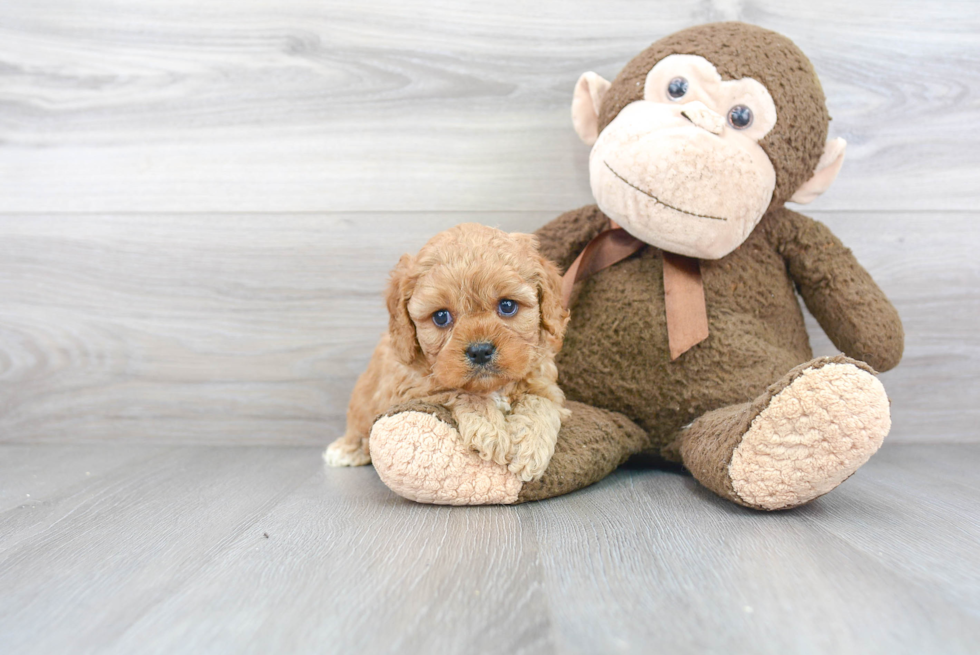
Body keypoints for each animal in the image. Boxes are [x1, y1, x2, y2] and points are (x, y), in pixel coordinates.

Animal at [324, 223, 568, 484]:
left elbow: (540, 402)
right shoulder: (412, 390)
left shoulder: (544, 383)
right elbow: (460, 392)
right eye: (441, 316)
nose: (480, 351)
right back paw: (345, 450)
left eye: (507, 305)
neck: (492, 387)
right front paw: (489, 430)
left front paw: (529, 446)